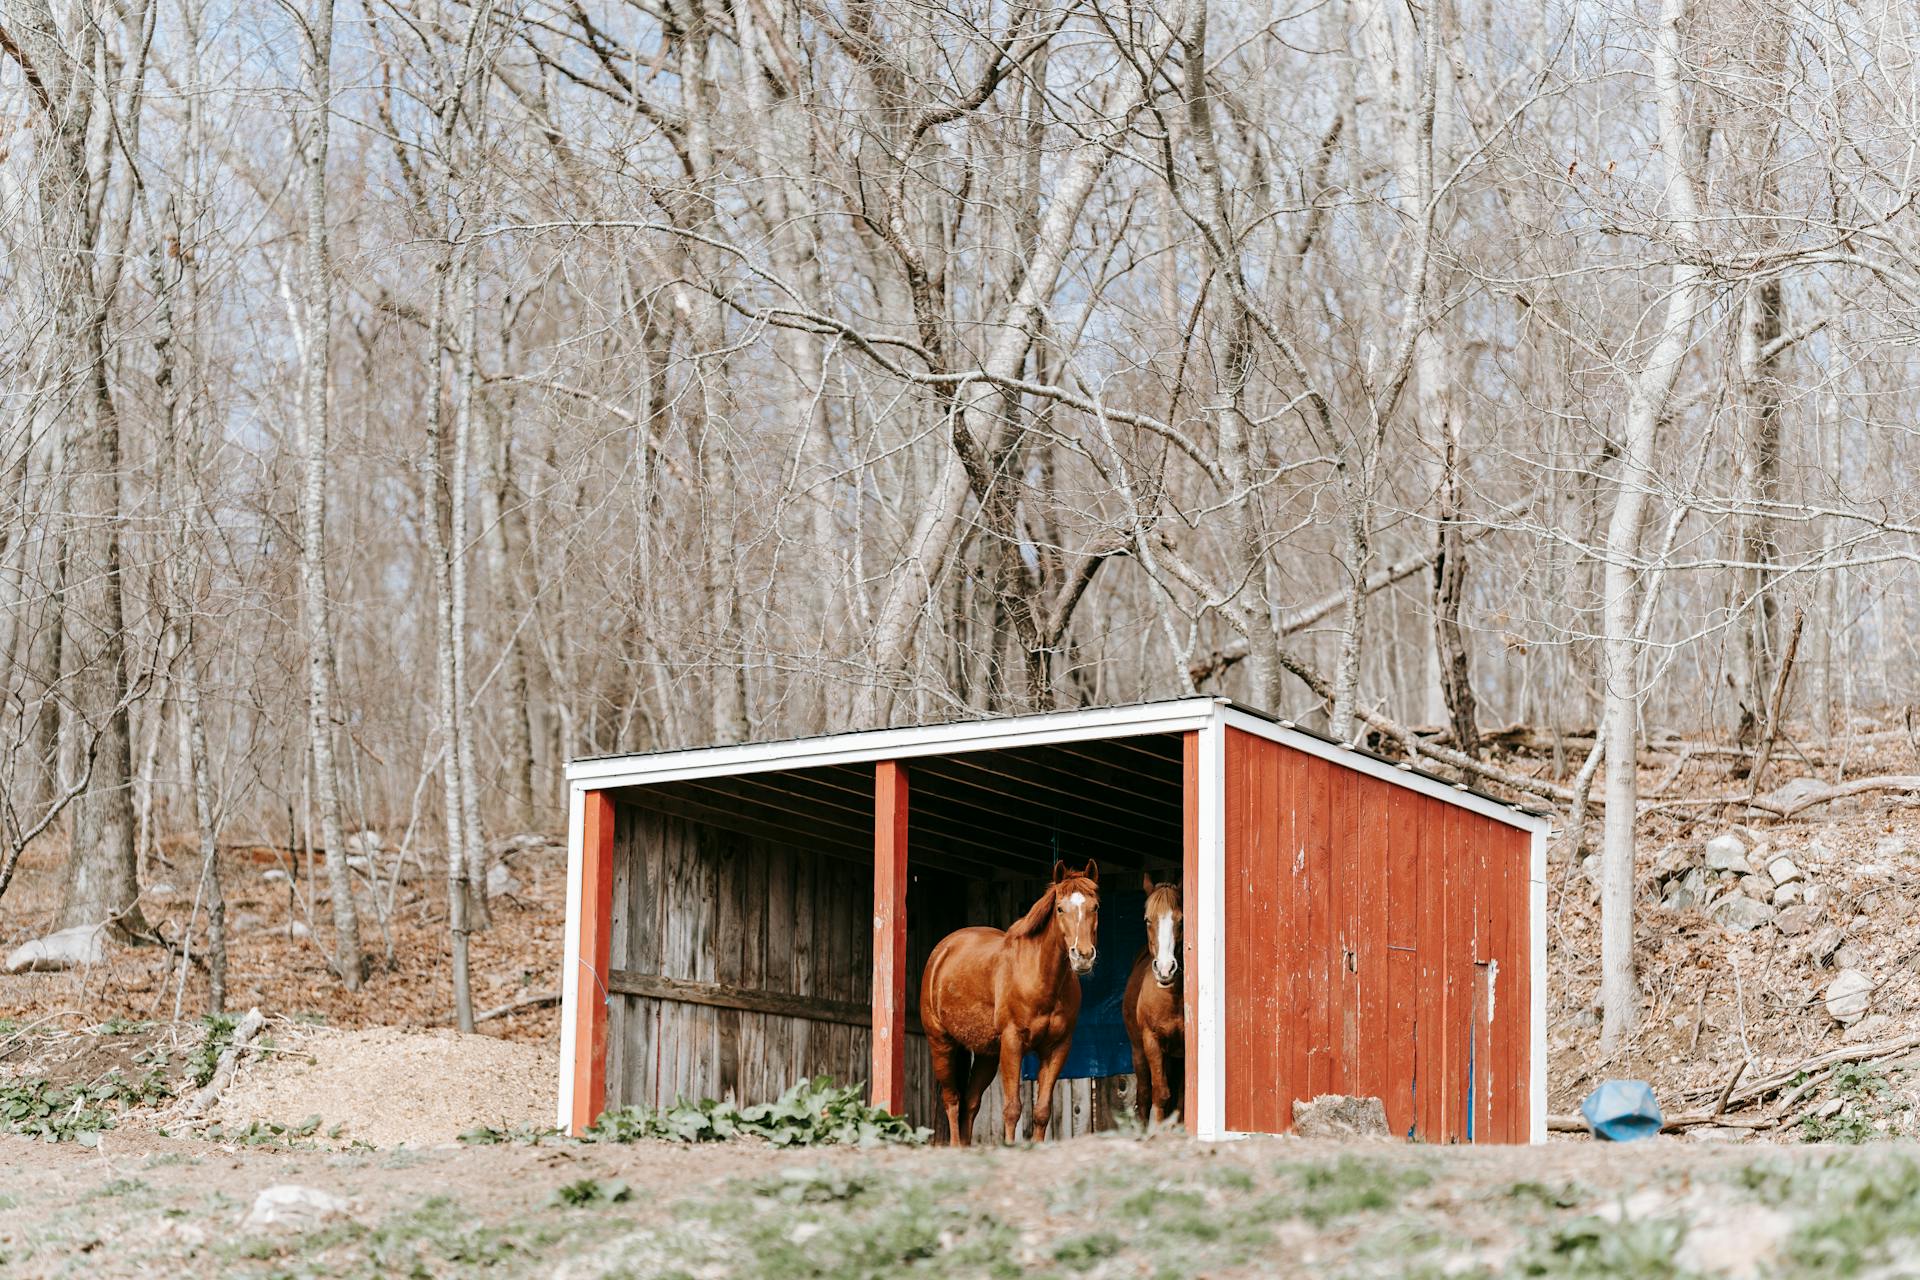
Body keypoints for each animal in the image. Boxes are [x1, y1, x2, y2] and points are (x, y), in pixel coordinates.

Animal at [921, 867, 1105, 1143]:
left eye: (1095, 906)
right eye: (1060, 909)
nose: (1082, 956)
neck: (1038, 975)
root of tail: (942, 951)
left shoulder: (1057, 1048)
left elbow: (1042, 1111)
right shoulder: (1012, 1042)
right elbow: (1012, 1109)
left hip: (987, 1054)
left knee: (971, 1102)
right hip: (941, 1043)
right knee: (952, 1100)